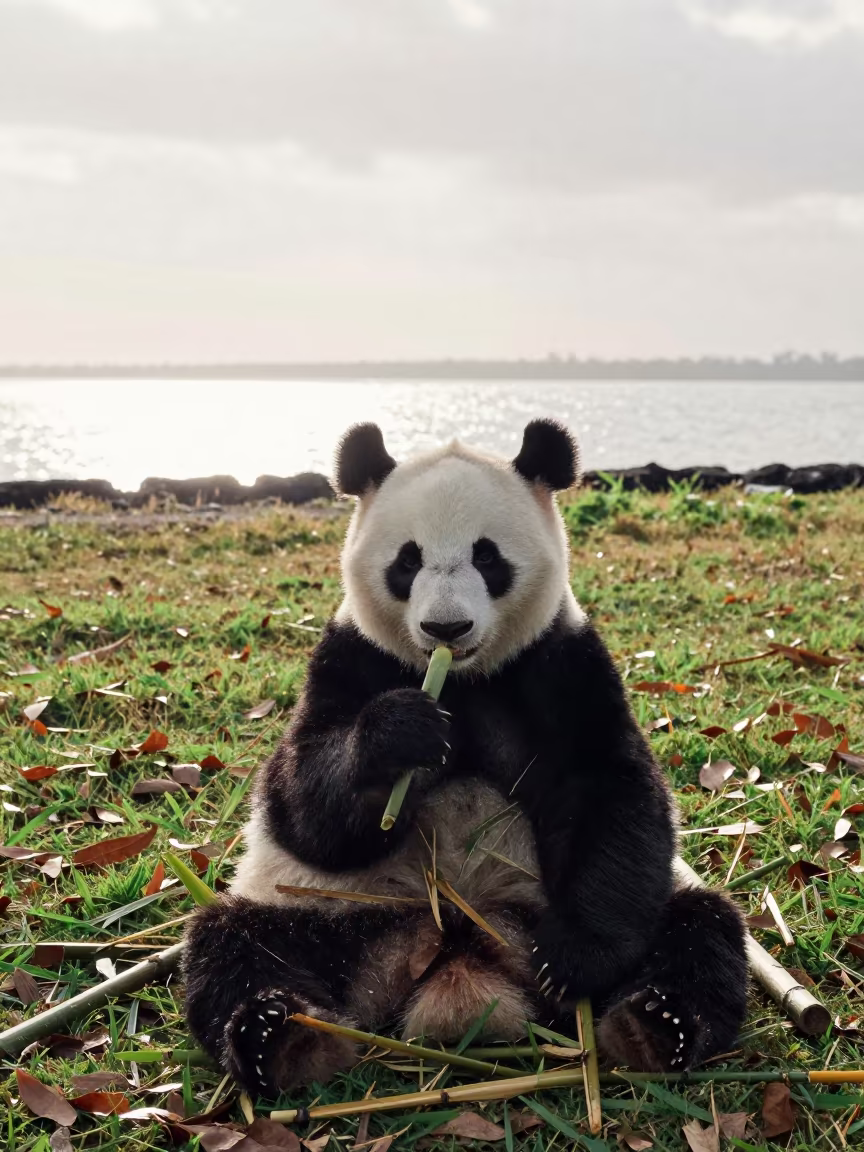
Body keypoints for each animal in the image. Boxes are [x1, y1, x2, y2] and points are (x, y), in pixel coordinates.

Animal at [183, 419, 748, 1095]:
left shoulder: (562, 661)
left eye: (487, 556)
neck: (461, 678)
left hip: (563, 911)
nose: (445, 629)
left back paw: (654, 1025)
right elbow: (302, 802)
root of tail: (461, 952)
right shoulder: (349, 656)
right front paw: (400, 736)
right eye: (407, 560)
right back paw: (283, 1036)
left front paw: (575, 958)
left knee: (700, 931)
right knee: (237, 945)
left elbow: (611, 789)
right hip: (329, 912)